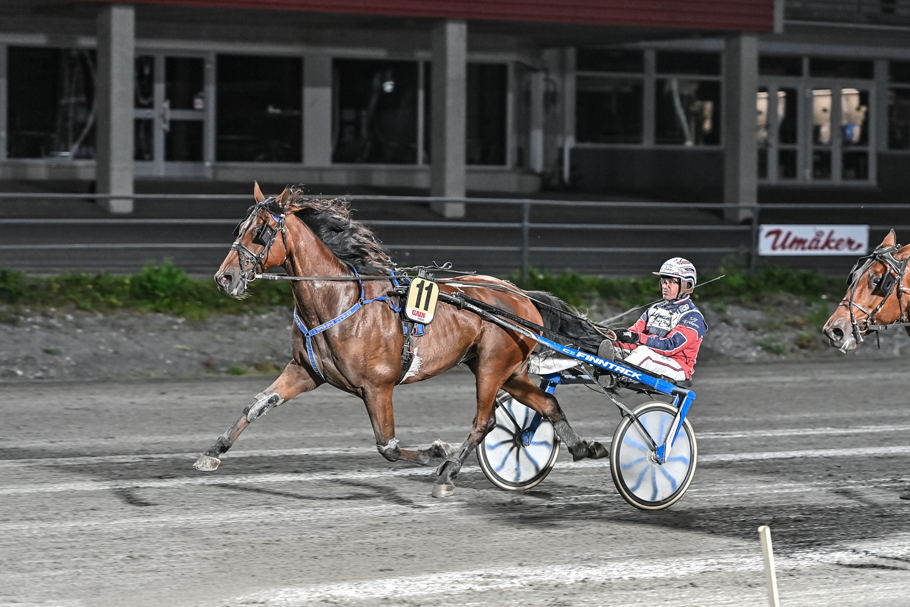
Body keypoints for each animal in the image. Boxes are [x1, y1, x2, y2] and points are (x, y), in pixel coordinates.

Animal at [194, 183, 606, 497]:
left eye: (261, 231)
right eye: (239, 228)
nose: (224, 278)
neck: (337, 301)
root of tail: (522, 296)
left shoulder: (377, 386)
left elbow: (388, 446)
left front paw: (435, 451)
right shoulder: (305, 371)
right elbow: (257, 405)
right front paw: (213, 451)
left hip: (492, 366)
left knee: (484, 421)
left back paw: (448, 472)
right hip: (509, 370)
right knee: (547, 403)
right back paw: (582, 446)